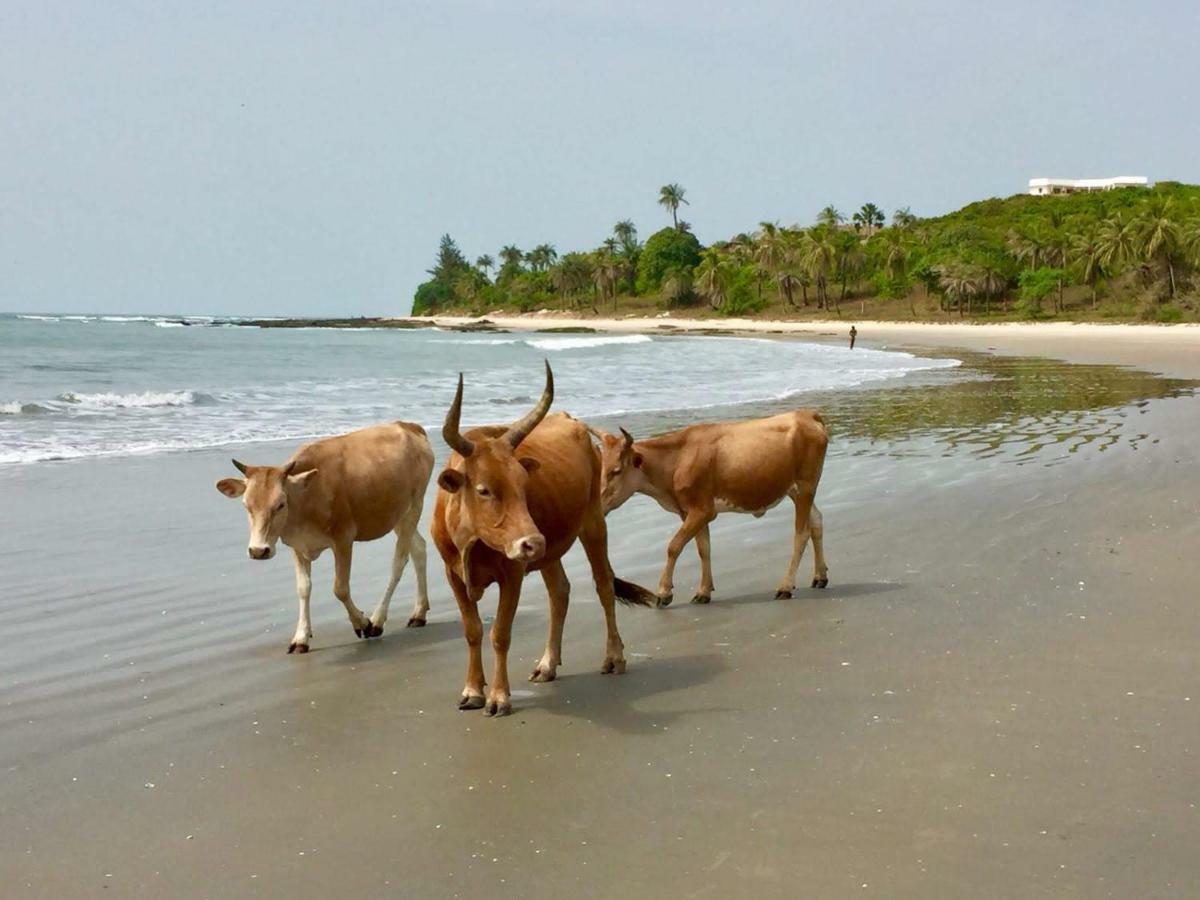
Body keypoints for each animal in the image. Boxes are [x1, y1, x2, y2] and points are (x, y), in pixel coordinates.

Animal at [214, 422, 432, 657]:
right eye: (246, 505)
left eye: (280, 504)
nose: (258, 550)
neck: (305, 498)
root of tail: (409, 426)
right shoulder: (297, 546)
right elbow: (303, 588)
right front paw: (301, 637)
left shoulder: (344, 539)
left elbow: (340, 588)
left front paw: (362, 623)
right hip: (397, 516)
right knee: (419, 549)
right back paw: (419, 613)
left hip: (414, 507)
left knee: (399, 563)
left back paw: (377, 620)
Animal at [432, 362, 657, 724]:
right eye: (484, 489)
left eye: (524, 484)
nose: (532, 542)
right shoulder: (453, 575)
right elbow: (472, 630)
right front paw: (472, 691)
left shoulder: (512, 574)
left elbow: (500, 634)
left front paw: (498, 697)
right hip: (553, 550)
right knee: (560, 592)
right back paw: (547, 664)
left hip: (594, 523)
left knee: (604, 584)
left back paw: (614, 657)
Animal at [588, 412, 825, 609]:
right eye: (599, 468)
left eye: (616, 470)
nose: (596, 503)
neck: (675, 460)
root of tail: (806, 414)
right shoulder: (690, 511)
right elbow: (703, 549)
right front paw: (703, 591)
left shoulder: (702, 510)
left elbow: (674, 546)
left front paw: (664, 592)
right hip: (797, 491)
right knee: (816, 522)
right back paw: (820, 576)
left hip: (804, 486)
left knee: (801, 533)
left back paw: (786, 586)